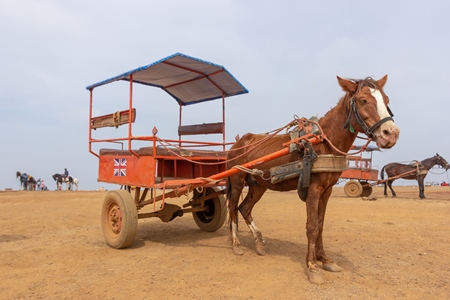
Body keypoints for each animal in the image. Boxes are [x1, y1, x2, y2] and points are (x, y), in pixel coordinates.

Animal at [225, 75, 400, 284]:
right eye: (363, 100)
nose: (391, 133)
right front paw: (312, 266)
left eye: (387, 100)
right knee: (233, 208)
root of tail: (237, 144)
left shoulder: (327, 190)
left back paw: (259, 242)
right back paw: (236, 244)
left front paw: (325, 260)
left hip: (259, 184)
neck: (323, 142)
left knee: (245, 208)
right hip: (237, 180)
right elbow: (312, 227)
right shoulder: (314, 189)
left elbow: (321, 224)